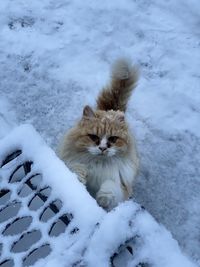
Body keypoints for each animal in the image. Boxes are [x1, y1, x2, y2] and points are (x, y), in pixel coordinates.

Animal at [59, 58, 139, 211]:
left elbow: (111, 186)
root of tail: (111, 109)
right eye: (94, 137)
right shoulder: (69, 162)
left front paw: (103, 197)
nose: (102, 148)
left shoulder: (122, 188)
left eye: (113, 139)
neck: (99, 166)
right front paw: (79, 177)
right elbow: (76, 168)